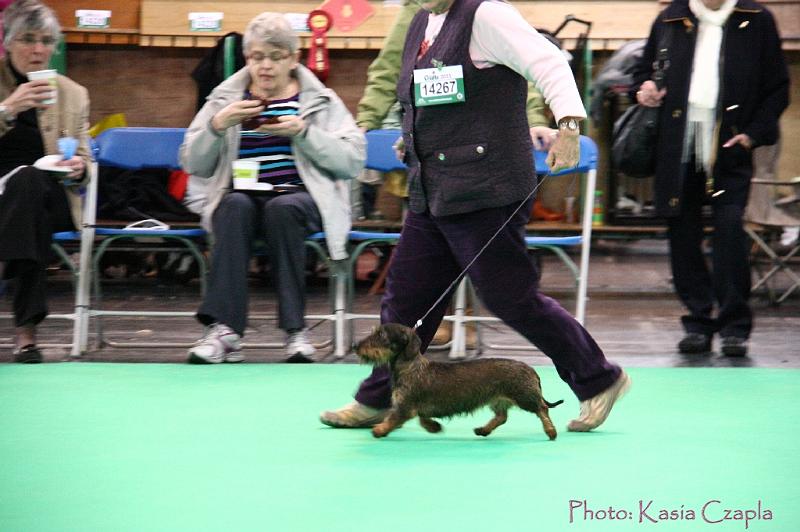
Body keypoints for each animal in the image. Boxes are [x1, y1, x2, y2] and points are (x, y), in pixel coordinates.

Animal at [356, 324, 564, 440]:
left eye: (382, 336)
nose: (355, 345)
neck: (411, 366)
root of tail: (531, 370)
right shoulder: (417, 406)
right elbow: (423, 418)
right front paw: (434, 427)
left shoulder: (405, 406)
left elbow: (393, 418)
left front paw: (379, 430)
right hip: (498, 399)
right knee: (502, 417)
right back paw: (483, 430)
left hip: (523, 397)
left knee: (542, 408)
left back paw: (550, 431)